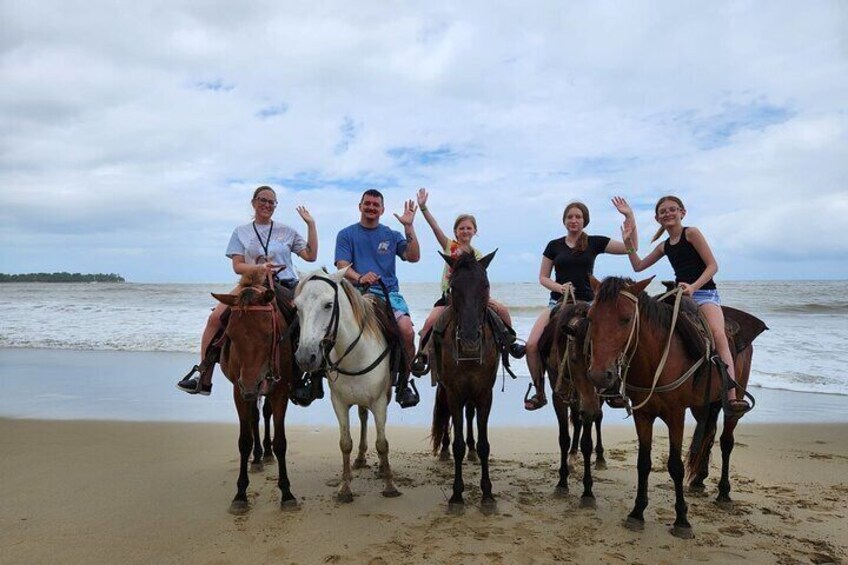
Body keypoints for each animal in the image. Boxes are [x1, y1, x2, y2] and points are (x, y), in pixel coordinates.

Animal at [294, 266, 402, 500]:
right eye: (296, 307)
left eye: (328, 305)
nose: (306, 357)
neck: (355, 354)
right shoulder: (339, 403)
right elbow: (345, 444)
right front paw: (345, 488)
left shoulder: (379, 402)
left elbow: (382, 444)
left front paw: (390, 485)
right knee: (362, 417)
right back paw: (360, 459)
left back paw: (382, 468)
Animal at [588, 276, 764, 536]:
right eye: (591, 317)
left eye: (626, 318)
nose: (600, 376)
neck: (655, 359)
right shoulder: (643, 415)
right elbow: (643, 463)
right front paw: (637, 512)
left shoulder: (675, 415)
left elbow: (675, 466)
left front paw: (682, 519)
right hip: (703, 405)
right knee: (708, 434)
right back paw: (699, 481)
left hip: (734, 400)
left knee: (726, 441)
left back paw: (723, 492)